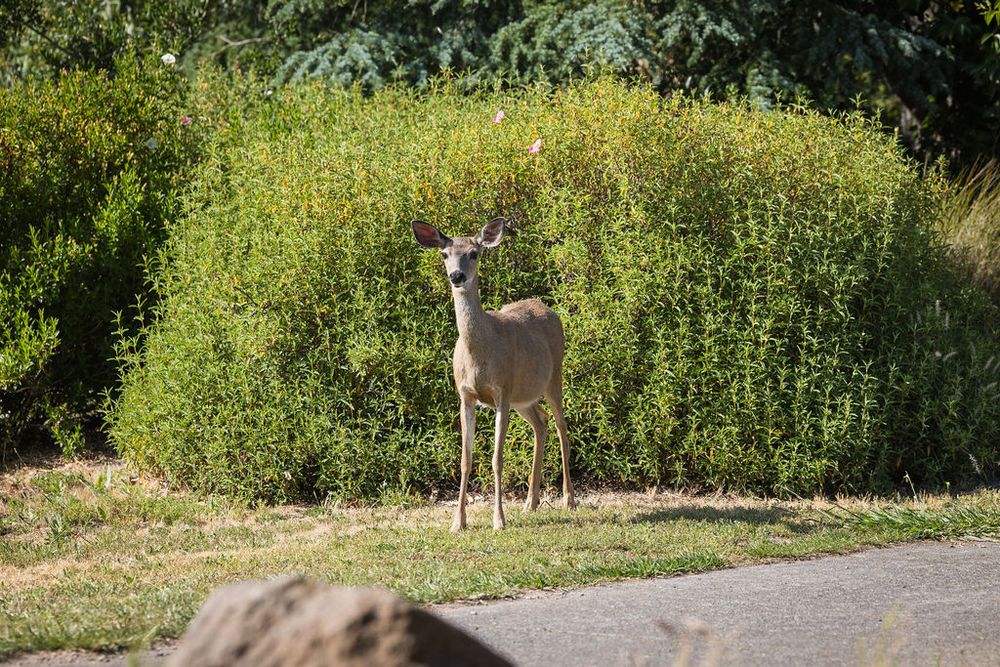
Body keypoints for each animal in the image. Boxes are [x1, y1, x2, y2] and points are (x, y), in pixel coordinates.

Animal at [412, 217, 575, 532]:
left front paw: (498, 520)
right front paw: (458, 522)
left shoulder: (502, 391)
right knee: (541, 422)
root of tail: (547, 307)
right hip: (523, 396)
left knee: (562, 426)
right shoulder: (466, 395)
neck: (479, 355)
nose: (457, 276)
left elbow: (497, 459)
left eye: (474, 253)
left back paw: (569, 500)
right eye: (444, 254)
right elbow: (465, 459)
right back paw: (530, 502)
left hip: (553, 378)